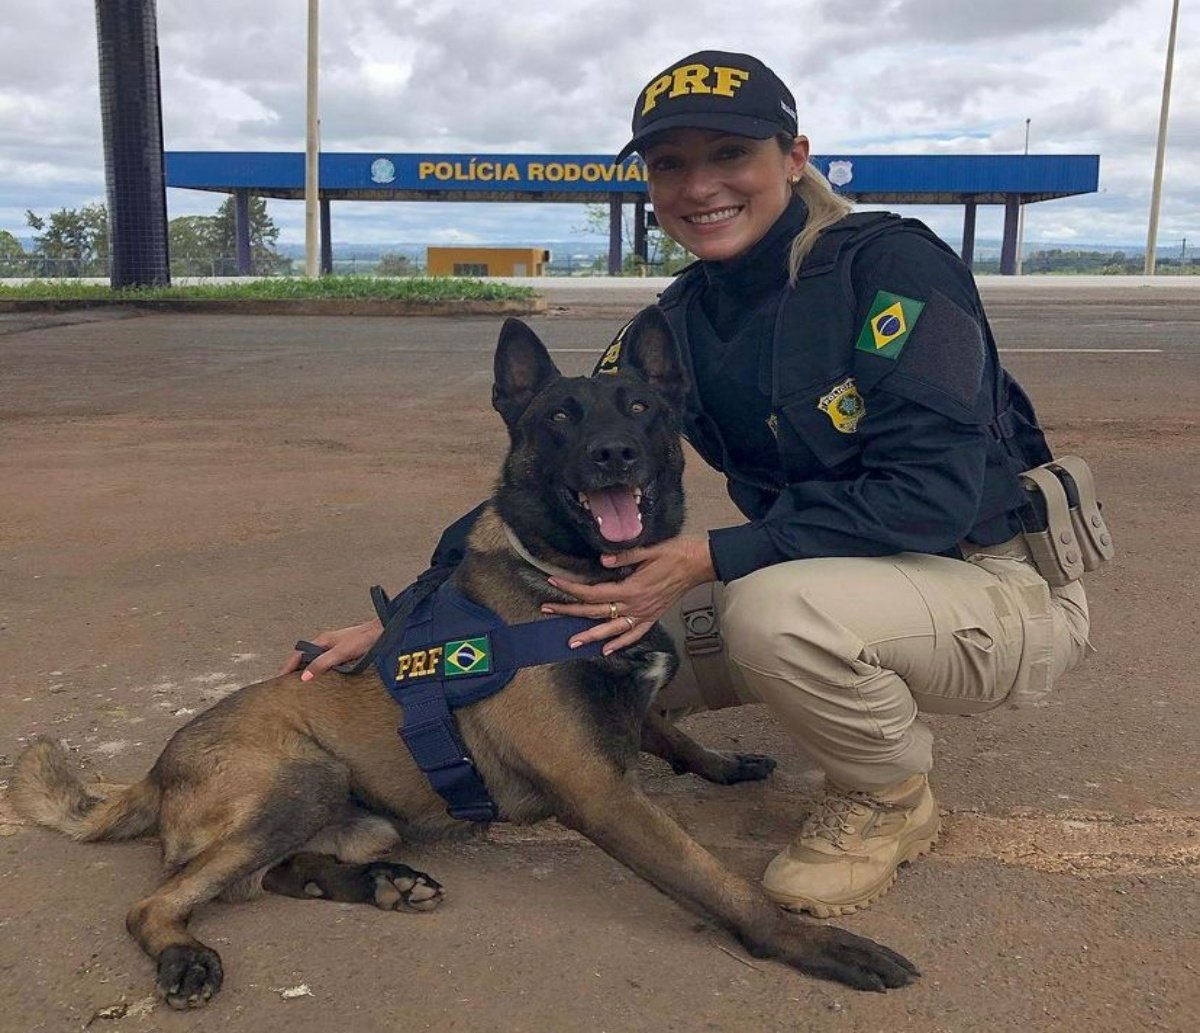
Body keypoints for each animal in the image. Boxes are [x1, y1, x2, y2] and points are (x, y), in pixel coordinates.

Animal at [9, 307, 912, 1007]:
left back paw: (378, 883)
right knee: (161, 900)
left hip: (358, 810)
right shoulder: (599, 790)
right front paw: (816, 947)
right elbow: (718, 881)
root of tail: (154, 771)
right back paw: (186, 952)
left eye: (642, 407)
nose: (614, 452)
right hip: (303, 777)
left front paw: (723, 764)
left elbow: (671, 730)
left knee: (264, 874)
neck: (569, 575)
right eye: (559, 418)